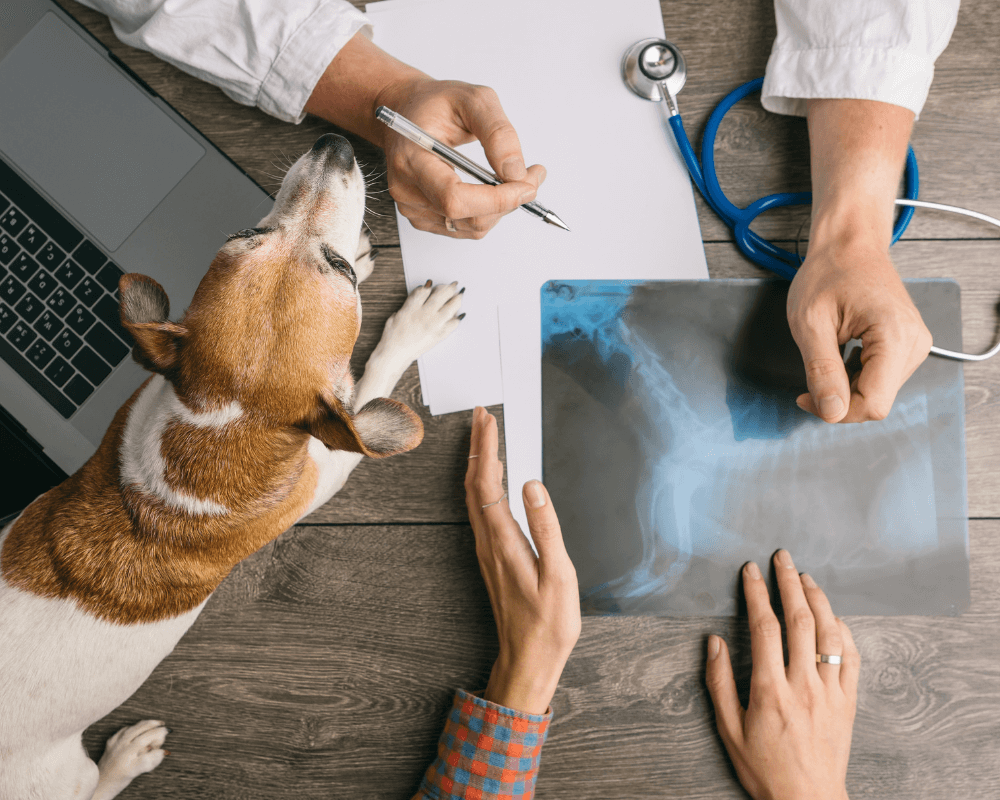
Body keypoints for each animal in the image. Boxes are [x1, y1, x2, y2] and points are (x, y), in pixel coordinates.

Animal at [0, 134, 460, 796]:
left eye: (247, 230)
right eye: (341, 275)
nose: (333, 145)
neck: (222, 423)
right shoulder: (328, 464)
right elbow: (370, 377)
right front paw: (414, 326)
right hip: (60, 776)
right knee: (95, 785)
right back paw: (127, 757)